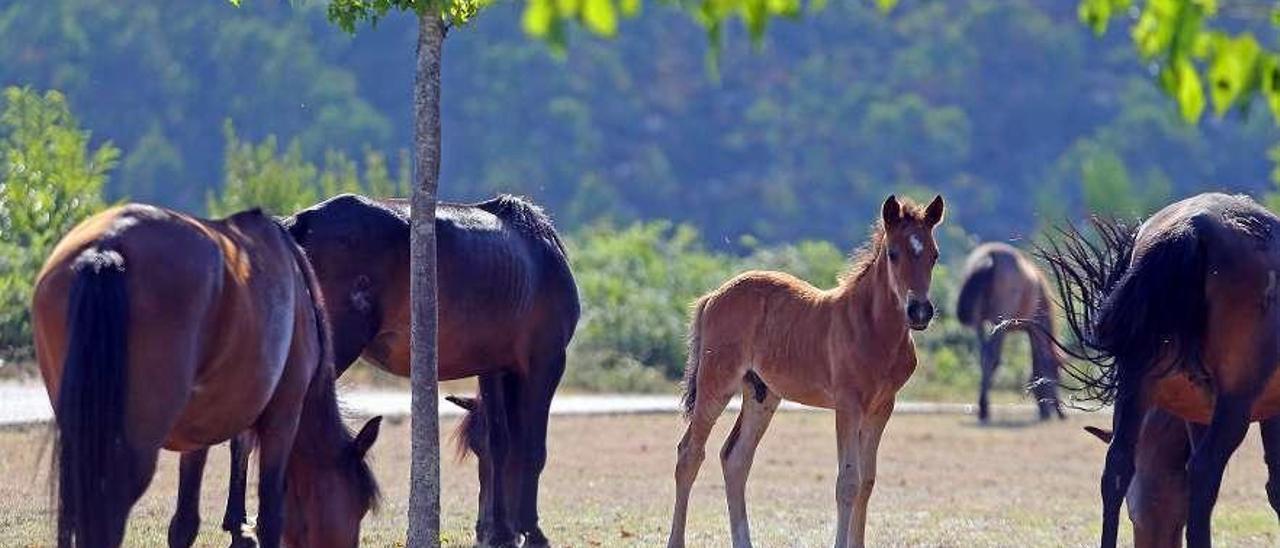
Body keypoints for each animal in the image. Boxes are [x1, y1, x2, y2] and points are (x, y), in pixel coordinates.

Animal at [32, 204, 381, 548]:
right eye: (361, 504)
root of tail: (107, 248)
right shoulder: (283, 417)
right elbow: (270, 518)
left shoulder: (198, 434)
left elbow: (184, 524)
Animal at [177, 193, 578, 548]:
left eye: (473, 451)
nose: (485, 531)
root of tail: (299, 225)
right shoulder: (547, 360)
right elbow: (531, 449)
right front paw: (532, 532)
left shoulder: (492, 366)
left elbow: (499, 442)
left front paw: (501, 532)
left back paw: (238, 528)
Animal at [665, 195, 947, 548]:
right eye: (894, 253)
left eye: (934, 255)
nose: (920, 311)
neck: (872, 327)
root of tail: (712, 296)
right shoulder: (848, 405)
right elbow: (848, 482)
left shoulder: (882, 407)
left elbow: (867, 482)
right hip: (716, 382)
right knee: (689, 454)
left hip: (761, 394)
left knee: (735, 458)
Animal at [957, 243, 1064, 425]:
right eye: (1057, 377)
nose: (1060, 414)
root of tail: (988, 258)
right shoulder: (1036, 328)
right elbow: (1041, 363)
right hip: (999, 319)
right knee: (992, 357)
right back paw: (984, 409)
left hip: (979, 320)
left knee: (983, 356)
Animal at [1034, 192, 1280, 542]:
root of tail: (1191, 227)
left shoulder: (1199, 411)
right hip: (1237, 402)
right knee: (1204, 472)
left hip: (1135, 388)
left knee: (1117, 469)